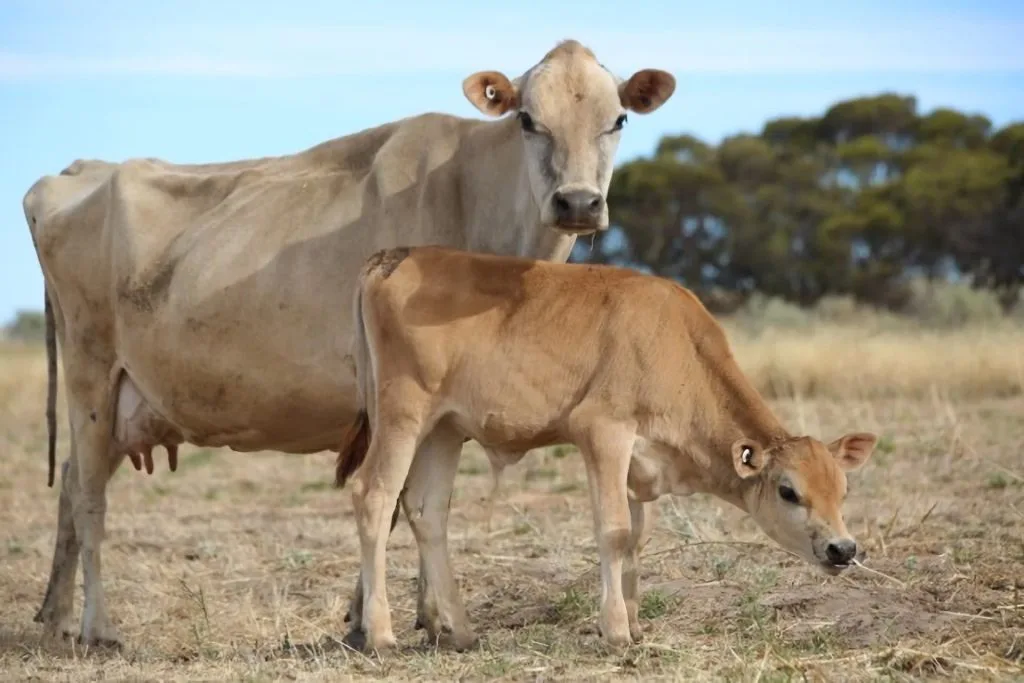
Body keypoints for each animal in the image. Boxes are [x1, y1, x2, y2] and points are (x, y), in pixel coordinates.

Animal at [22, 39, 676, 650]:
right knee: (87, 496)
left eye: (619, 119)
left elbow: (422, 504)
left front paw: (417, 618)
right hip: (90, 373)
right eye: (527, 120)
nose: (578, 202)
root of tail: (76, 172)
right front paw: (386, 622)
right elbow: (398, 501)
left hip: (118, 402)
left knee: (70, 486)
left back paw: (55, 617)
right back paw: (97, 626)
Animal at [334, 245, 879, 652]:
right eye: (788, 492)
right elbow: (614, 532)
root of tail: (393, 256)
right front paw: (616, 630)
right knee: (374, 497)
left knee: (427, 512)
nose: (843, 548)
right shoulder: (603, 432)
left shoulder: (640, 463)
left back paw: (462, 632)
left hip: (443, 430)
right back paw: (380, 634)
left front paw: (635, 624)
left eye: (843, 490)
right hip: (403, 414)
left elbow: (637, 537)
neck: (678, 347)